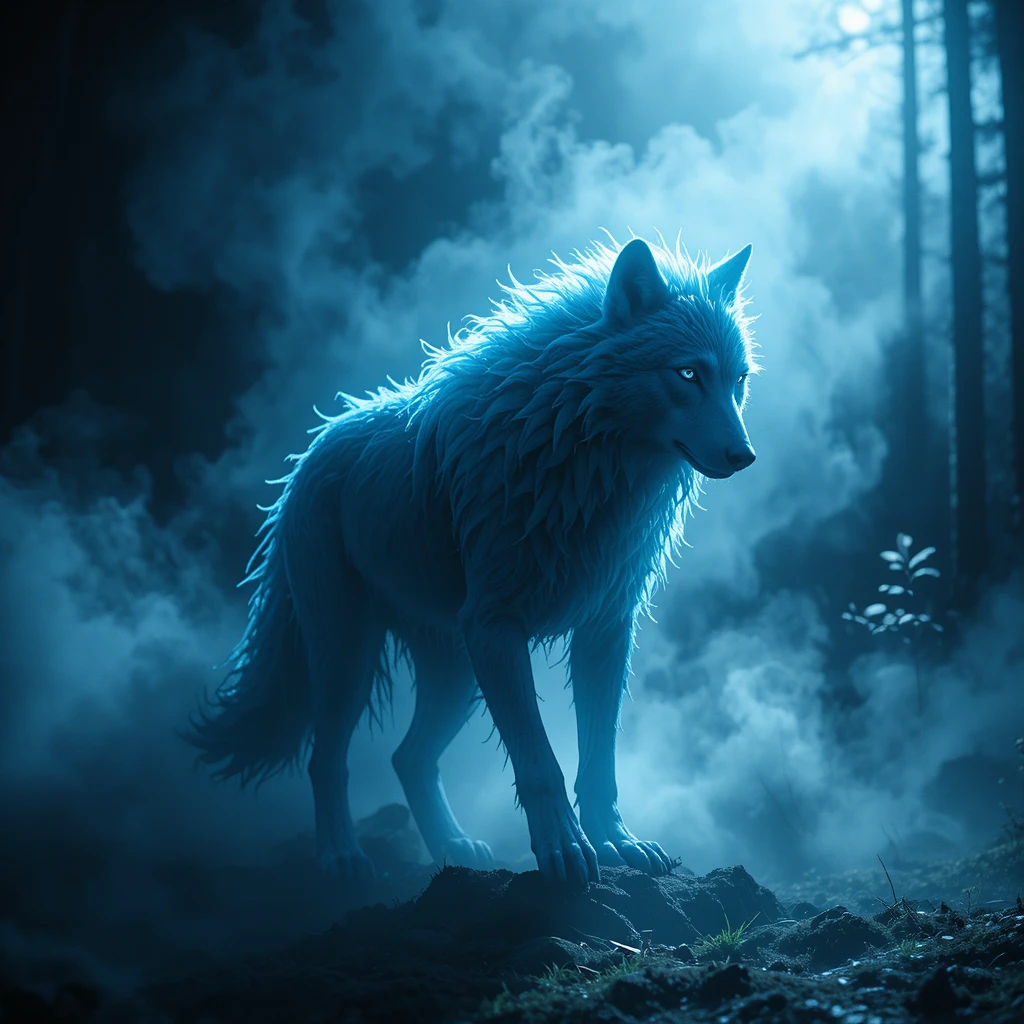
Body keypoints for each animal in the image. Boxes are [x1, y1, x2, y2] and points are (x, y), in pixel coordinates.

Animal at [188, 235, 759, 888]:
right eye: (688, 373)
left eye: (738, 381)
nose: (745, 456)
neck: (583, 454)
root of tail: (310, 450)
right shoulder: (495, 627)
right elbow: (540, 761)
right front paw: (564, 851)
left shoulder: (604, 628)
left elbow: (600, 757)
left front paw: (617, 842)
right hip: (349, 655)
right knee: (326, 760)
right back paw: (343, 859)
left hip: (455, 671)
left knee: (406, 757)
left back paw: (453, 847)